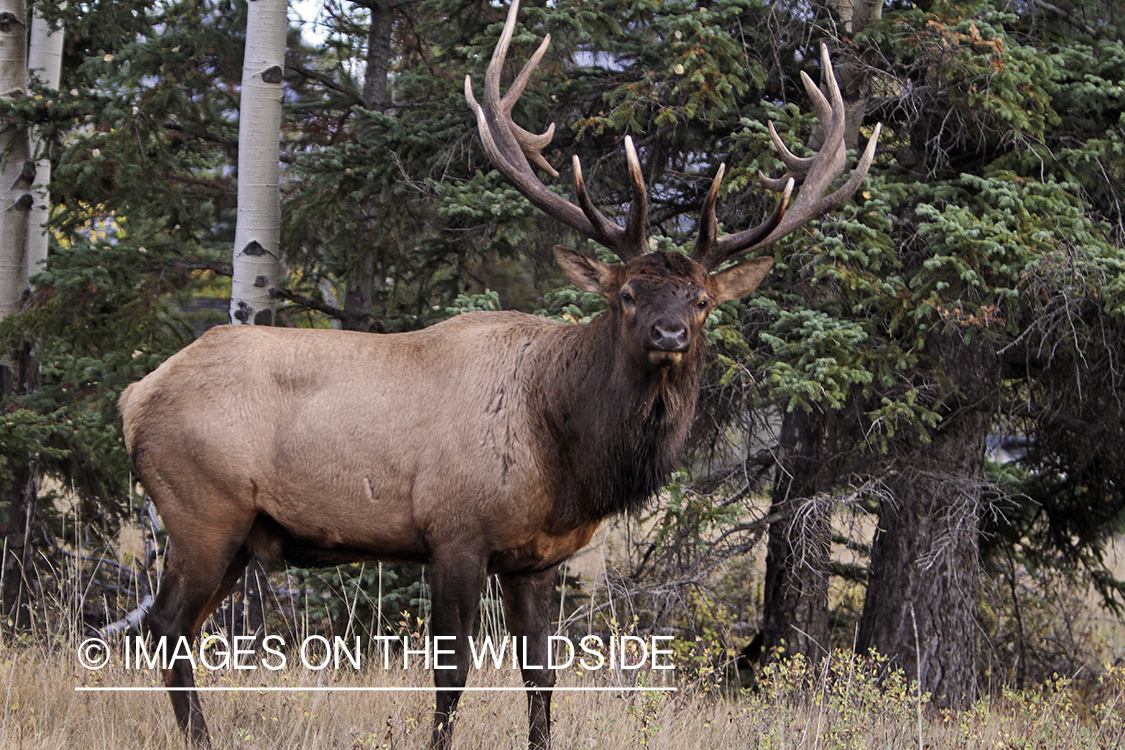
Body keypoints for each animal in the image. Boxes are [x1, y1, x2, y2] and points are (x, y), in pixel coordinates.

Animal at [118, 2, 882, 746]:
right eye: (627, 294)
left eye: (700, 300)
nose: (669, 335)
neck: (567, 454)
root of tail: (134, 396)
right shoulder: (454, 531)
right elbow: (450, 675)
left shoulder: (536, 558)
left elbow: (541, 676)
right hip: (203, 508)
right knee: (163, 625)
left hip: (238, 531)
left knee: (175, 628)